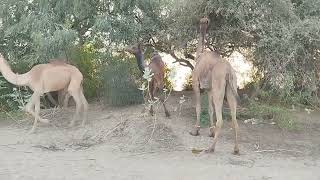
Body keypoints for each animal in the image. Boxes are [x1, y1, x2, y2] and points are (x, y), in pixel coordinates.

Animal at [190, 17, 240, 155]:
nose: (204, 22)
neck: (199, 56)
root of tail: (228, 70)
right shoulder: (209, 89)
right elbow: (210, 109)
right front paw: (211, 132)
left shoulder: (196, 83)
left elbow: (198, 107)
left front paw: (195, 131)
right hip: (231, 88)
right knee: (234, 119)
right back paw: (236, 149)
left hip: (219, 88)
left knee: (221, 119)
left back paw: (210, 148)